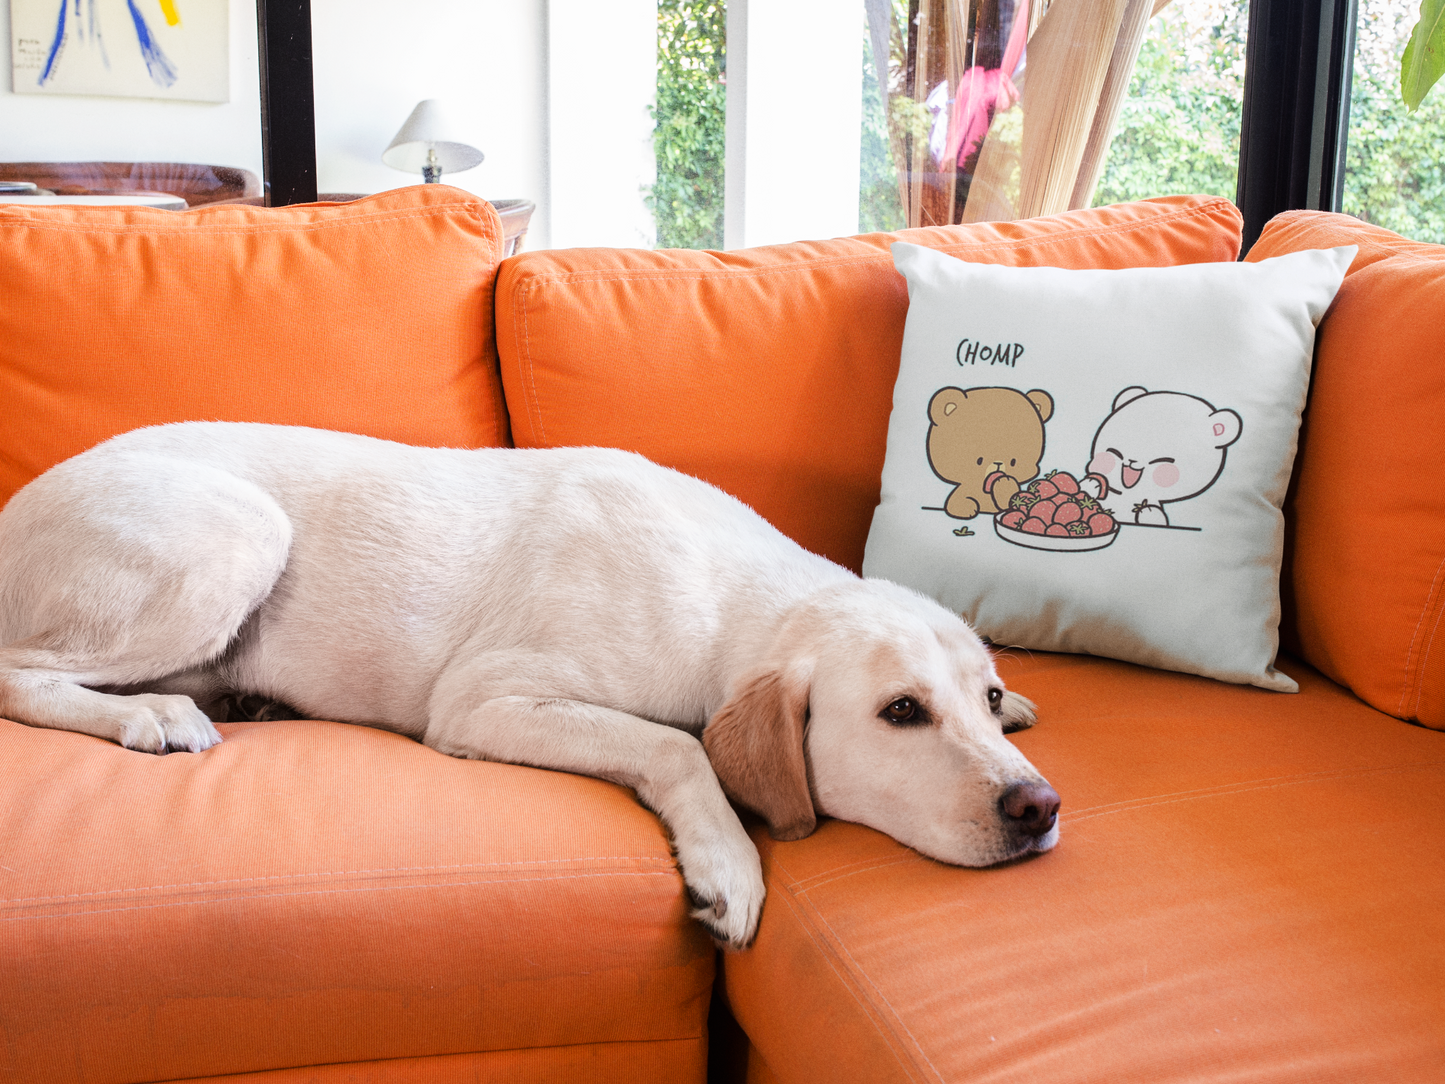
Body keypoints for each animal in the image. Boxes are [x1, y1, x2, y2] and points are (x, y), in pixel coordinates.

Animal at [1081, 387, 1242, 527]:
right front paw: (1092, 483)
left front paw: (1148, 512)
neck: (1127, 494)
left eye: (1161, 462)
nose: (1132, 460)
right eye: (1115, 452)